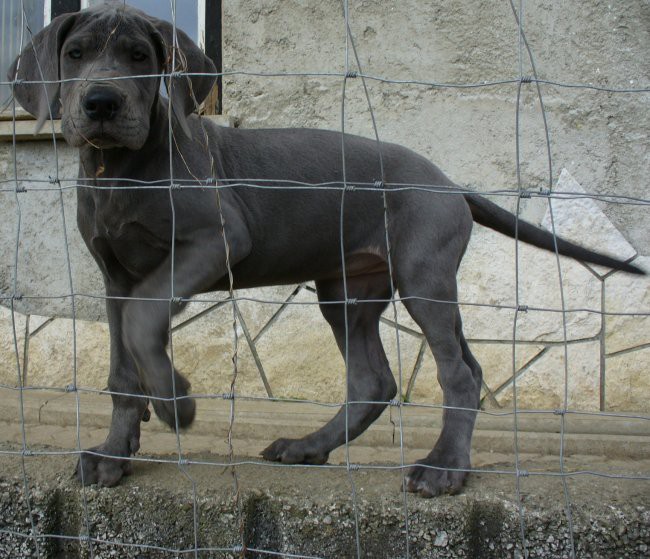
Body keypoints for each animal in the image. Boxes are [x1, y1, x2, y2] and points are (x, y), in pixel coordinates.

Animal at [10, 3, 644, 494]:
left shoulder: (215, 240)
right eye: (75, 54)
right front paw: (114, 454)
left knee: (459, 373)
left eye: (140, 56)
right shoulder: (115, 277)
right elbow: (123, 365)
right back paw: (310, 447)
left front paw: (175, 402)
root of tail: (449, 183)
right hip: (348, 291)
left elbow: (145, 323)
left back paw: (443, 470)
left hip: (423, 276)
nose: (100, 103)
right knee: (375, 381)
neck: (120, 169)